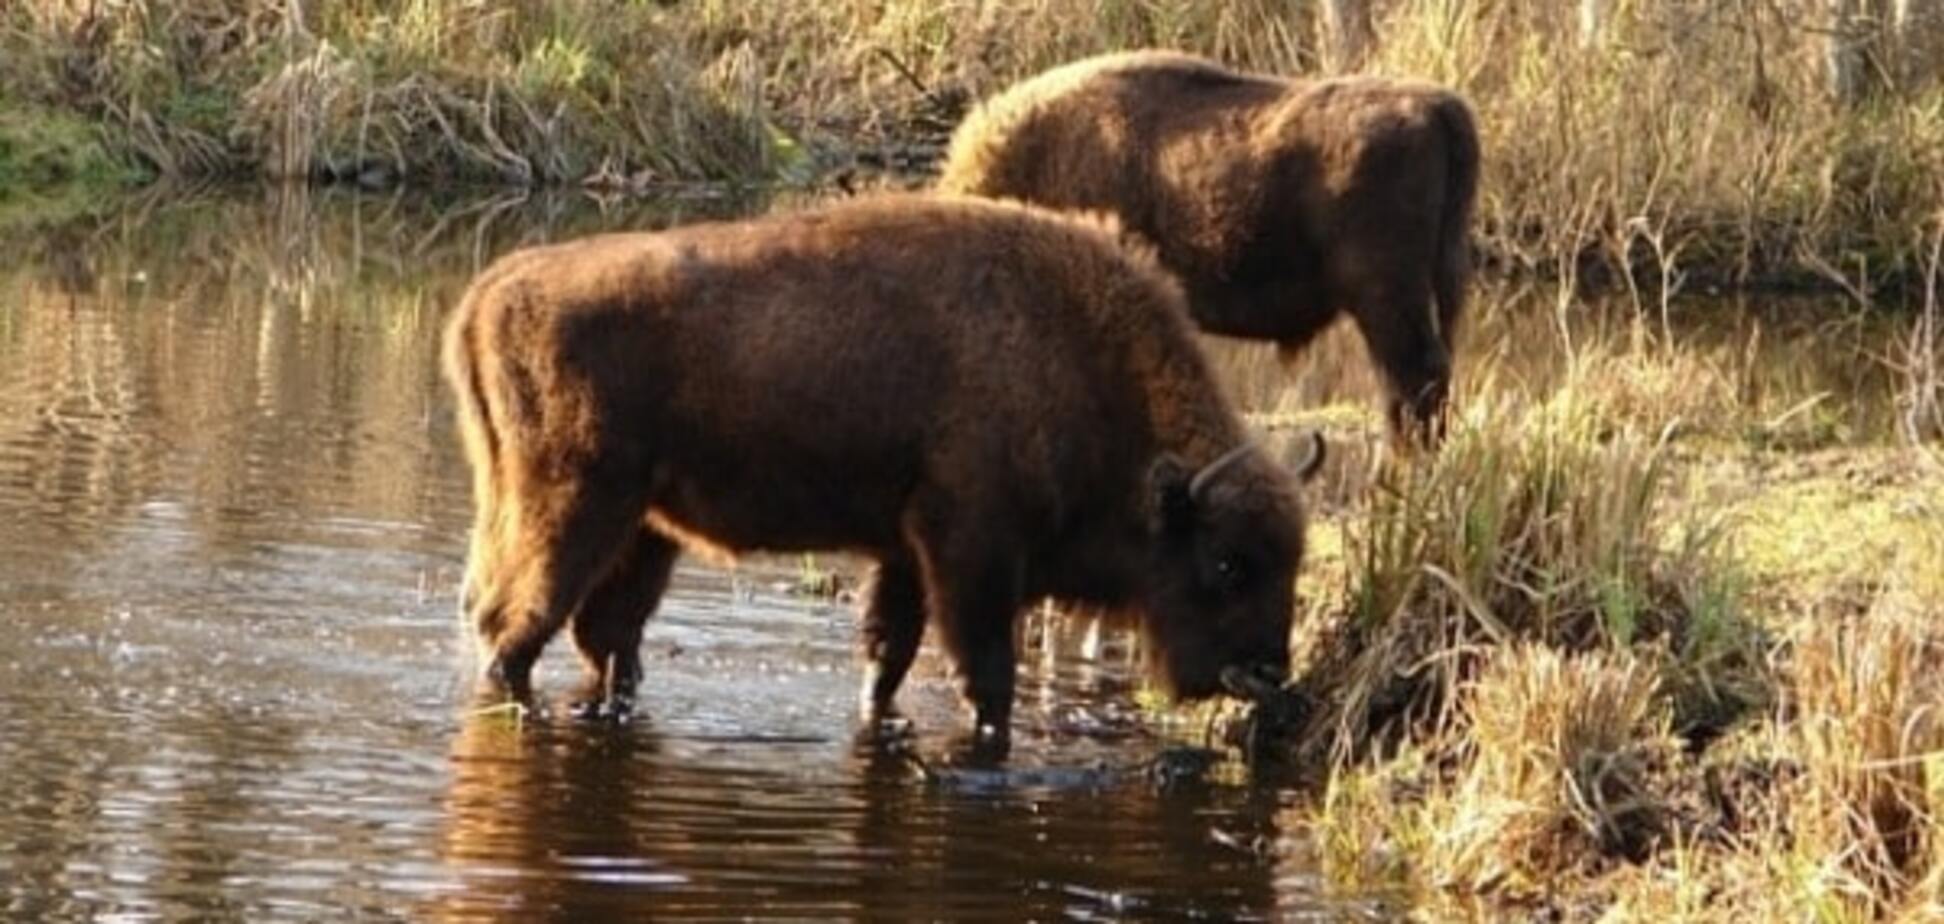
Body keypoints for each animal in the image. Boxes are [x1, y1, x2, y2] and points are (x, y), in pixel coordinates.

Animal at [441, 197, 1321, 746]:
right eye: (1226, 562)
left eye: (1292, 562)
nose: (1268, 672)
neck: (1076, 357)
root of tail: (489, 291)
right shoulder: (970, 553)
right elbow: (984, 675)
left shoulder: (906, 551)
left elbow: (886, 657)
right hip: (571, 511)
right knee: (513, 627)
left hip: (643, 529)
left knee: (604, 637)